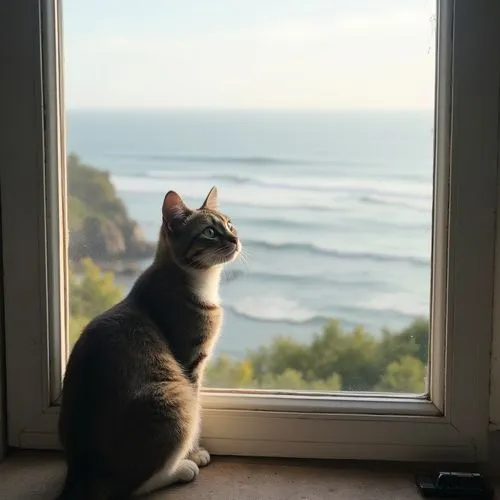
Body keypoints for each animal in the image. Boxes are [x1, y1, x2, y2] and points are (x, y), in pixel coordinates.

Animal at [56, 186, 240, 498]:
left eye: (230, 224)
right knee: (132, 486)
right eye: (210, 232)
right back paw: (180, 469)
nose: (236, 238)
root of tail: (80, 472)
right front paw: (194, 453)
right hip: (174, 399)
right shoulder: (191, 364)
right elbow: (198, 416)